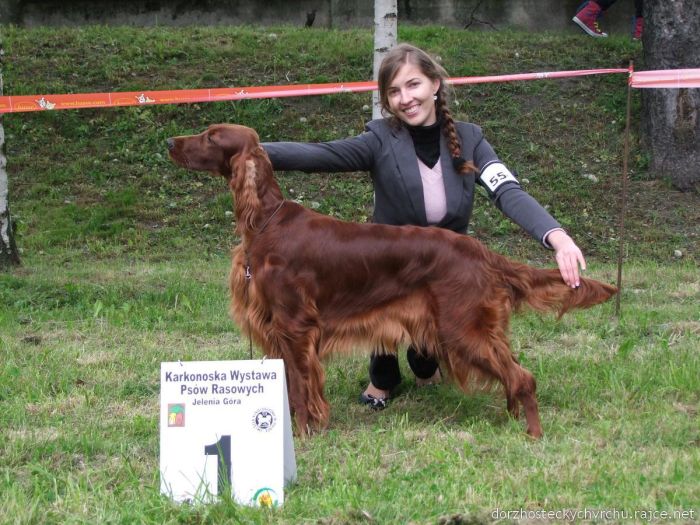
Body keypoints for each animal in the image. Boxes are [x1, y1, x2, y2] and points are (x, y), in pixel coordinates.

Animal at [167, 124, 616, 438]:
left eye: (210, 136)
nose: (171, 141)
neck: (266, 221)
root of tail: (482, 252)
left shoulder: (293, 326)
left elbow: (299, 388)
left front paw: (304, 434)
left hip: (461, 328)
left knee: (523, 377)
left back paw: (533, 435)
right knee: (514, 373)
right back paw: (511, 419)